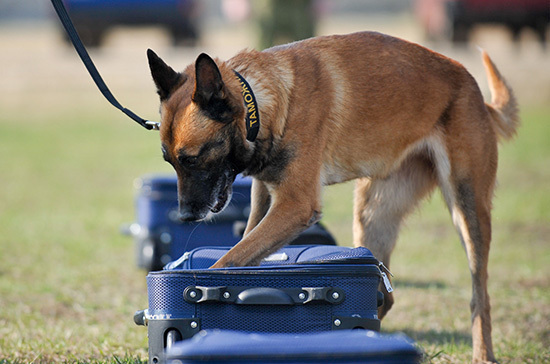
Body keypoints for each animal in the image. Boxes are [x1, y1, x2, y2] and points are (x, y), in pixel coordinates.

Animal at [146, 32, 516, 364]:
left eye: (191, 159)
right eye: (169, 161)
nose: (185, 216)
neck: (267, 100)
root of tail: (473, 90)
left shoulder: (295, 205)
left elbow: (230, 260)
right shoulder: (265, 193)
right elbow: (246, 244)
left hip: (467, 210)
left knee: (480, 294)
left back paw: (483, 354)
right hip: (372, 215)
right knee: (384, 298)